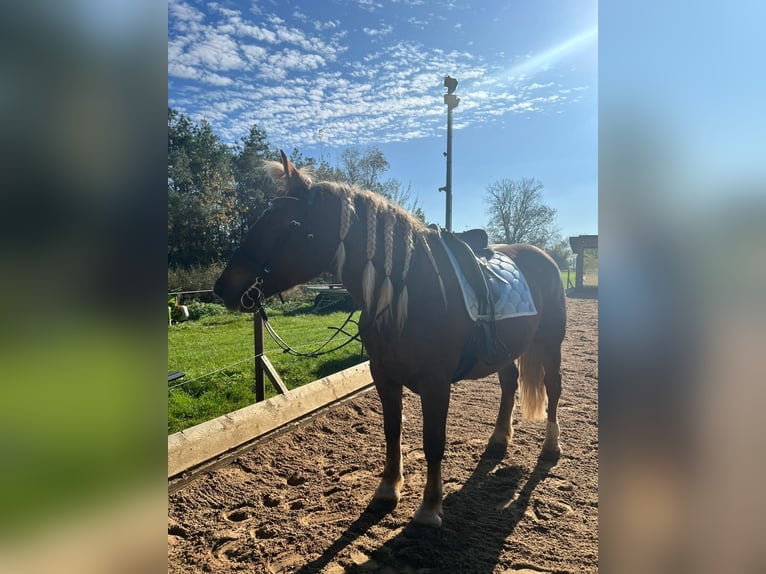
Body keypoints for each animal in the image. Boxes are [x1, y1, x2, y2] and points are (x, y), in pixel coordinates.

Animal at [213, 151, 568, 528]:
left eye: (288, 224)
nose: (223, 287)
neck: (406, 293)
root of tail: (543, 257)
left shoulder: (436, 383)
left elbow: (433, 441)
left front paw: (430, 506)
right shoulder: (383, 375)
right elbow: (392, 430)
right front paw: (387, 489)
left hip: (551, 344)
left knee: (553, 388)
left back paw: (551, 447)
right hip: (507, 349)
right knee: (509, 383)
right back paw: (499, 439)